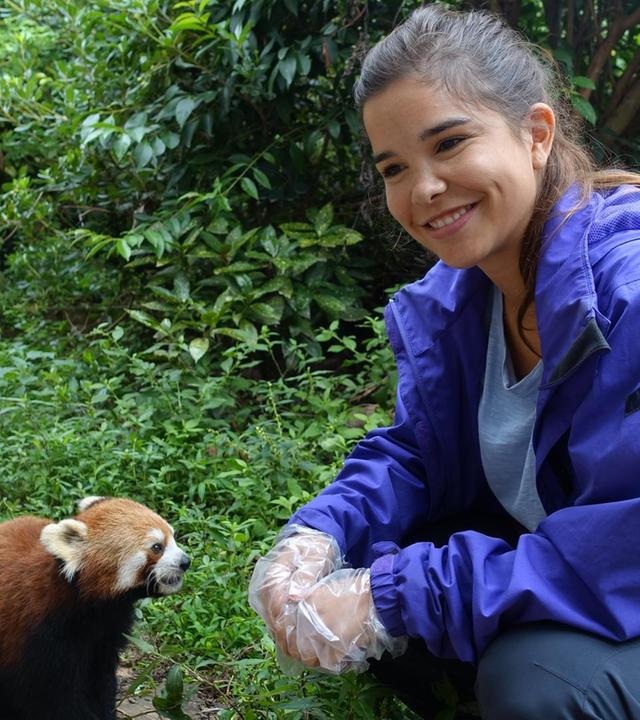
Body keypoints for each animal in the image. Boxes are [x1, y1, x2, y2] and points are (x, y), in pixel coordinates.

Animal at [0, 496, 190, 720]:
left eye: (173, 536)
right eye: (157, 547)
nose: (185, 561)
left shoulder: (107, 632)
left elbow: (101, 681)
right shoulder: (39, 634)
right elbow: (52, 699)